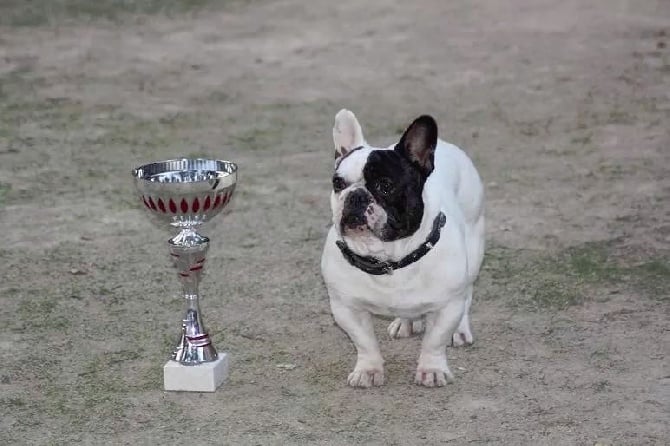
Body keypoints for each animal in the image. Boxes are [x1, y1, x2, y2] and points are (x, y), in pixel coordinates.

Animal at [322, 109, 486, 386]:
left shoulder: (447, 306)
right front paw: (368, 370)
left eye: (385, 185)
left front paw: (432, 369)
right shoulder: (346, 308)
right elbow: (364, 342)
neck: (388, 259)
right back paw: (405, 322)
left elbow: (435, 340)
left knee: (468, 294)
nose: (356, 195)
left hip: (473, 250)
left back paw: (460, 330)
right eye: (338, 184)